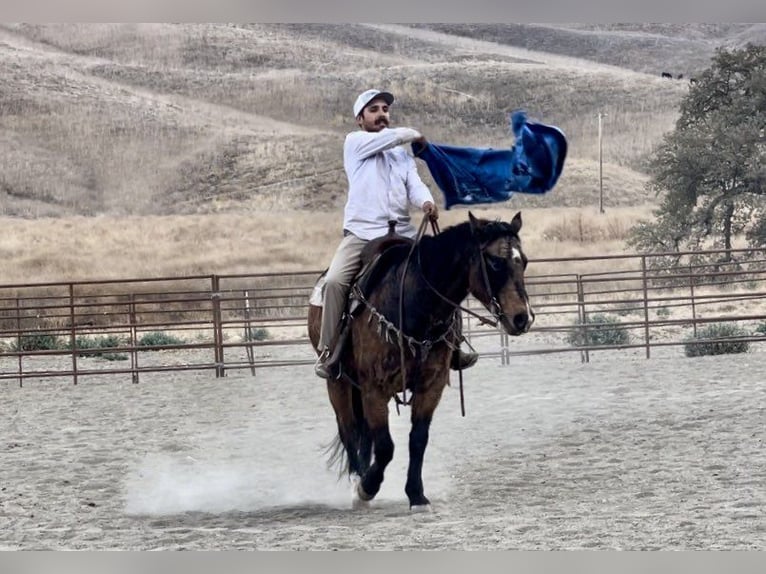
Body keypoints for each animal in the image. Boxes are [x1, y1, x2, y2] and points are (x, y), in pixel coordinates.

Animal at [306, 213, 536, 512]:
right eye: (495, 262)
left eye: (525, 261)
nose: (522, 318)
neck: (413, 305)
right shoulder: (374, 389)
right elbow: (385, 446)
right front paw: (366, 488)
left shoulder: (431, 385)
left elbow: (417, 440)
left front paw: (416, 495)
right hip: (339, 384)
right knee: (349, 431)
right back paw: (358, 483)